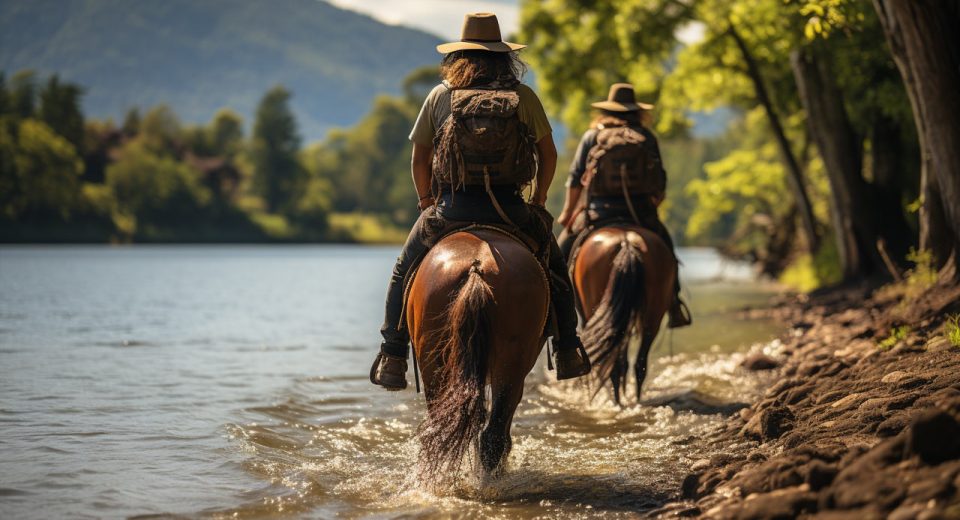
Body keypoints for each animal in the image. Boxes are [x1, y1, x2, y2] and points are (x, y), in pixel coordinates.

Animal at [568, 225, 676, 404]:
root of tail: (626, 241)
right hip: (653, 318)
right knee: (639, 363)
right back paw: (635, 400)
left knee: (614, 366)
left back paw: (617, 402)